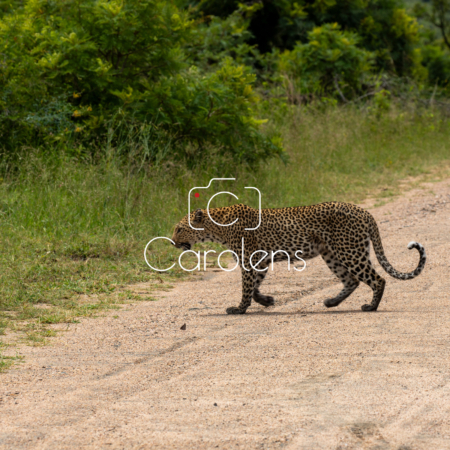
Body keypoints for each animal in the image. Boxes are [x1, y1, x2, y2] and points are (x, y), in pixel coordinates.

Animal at [171, 202, 426, 314]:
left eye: (179, 229)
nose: (172, 242)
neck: (216, 227)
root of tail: (364, 211)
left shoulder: (249, 259)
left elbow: (246, 286)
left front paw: (240, 308)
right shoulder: (260, 260)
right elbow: (255, 285)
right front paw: (266, 301)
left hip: (349, 251)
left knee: (376, 279)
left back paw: (370, 307)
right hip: (331, 253)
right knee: (351, 280)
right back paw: (332, 302)